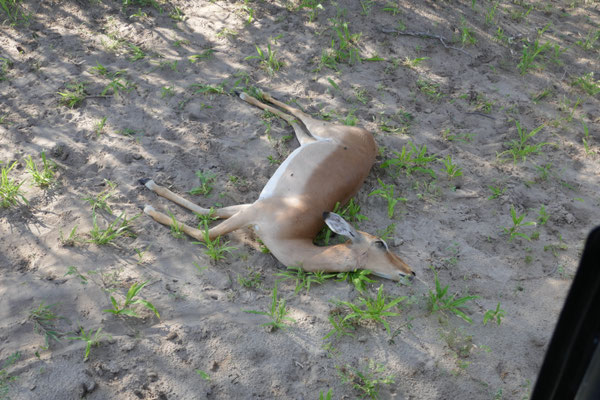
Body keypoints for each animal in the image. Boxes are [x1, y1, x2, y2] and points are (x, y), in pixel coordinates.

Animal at [141, 92, 414, 282]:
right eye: (380, 243)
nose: (410, 272)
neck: (293, 235)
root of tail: (370, 141)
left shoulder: (251, 209)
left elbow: (207, 215)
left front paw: (149, 188)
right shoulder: (253, 211)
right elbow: (205, 230)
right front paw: (149, 200)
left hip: (309, 140)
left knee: (294, 119)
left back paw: (247, 93)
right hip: (322, 129)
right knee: (298, 112)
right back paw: (246, 93)